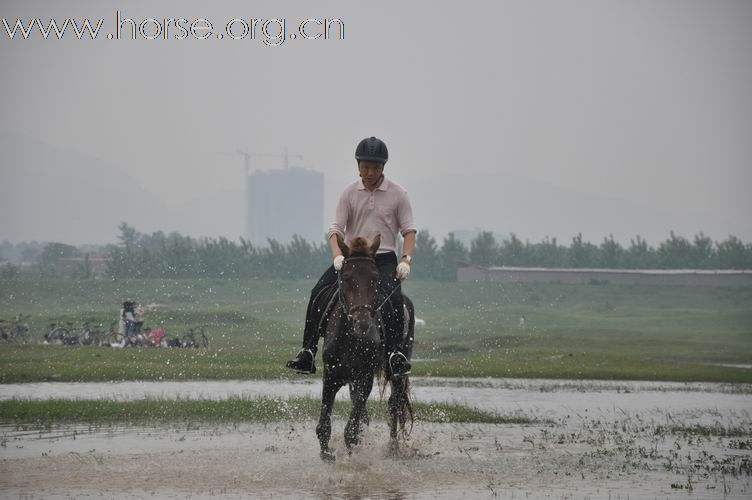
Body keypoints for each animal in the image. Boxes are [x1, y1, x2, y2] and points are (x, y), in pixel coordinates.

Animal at [314, 234, 414, 460]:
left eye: (375, 279)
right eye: (346, 277)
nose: (362, 323)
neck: (350, 338)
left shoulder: (364, 378)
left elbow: (351, 429)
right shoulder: (330, 376)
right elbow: (324, 423)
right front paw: (326, 454)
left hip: (397, 369)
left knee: (394, 404)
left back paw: (393, 448)